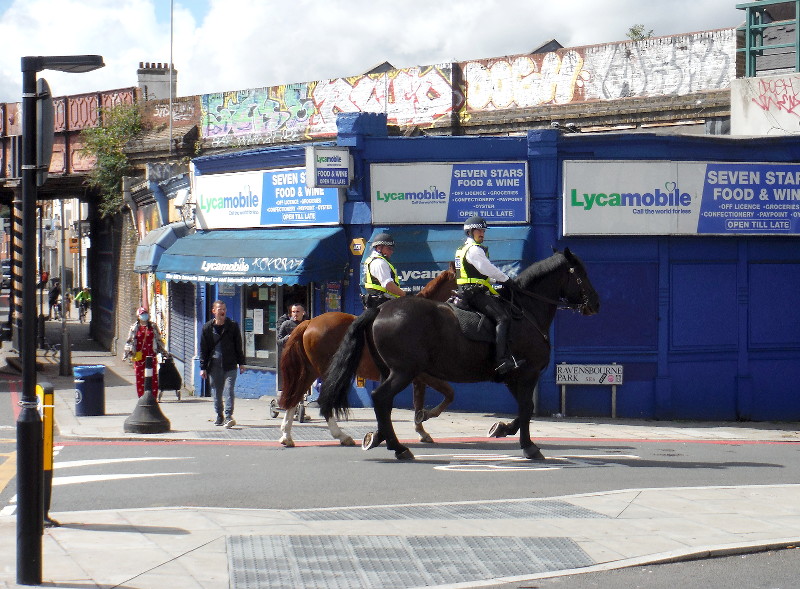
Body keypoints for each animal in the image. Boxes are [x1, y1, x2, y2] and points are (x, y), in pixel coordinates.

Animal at [278, 266, 456, 446]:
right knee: (322, 400)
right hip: (326, 371)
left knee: (296, 396)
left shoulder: (416, 377)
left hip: (311, 370)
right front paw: (425, 420)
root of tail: (309, 322)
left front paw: (419, 430)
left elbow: (418, 401)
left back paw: (286, 435)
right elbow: (446, 394)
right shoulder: (421, 375)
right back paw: (341, 436)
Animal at [318, 247, 600, 460]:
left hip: (389, 370)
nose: (595, 304)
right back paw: (398, 447)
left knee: (383, 404)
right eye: (581, 274)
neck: (526, 310)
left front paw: (502, 429)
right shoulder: (527, 372)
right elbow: (527, 408)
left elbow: (523, 408)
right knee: (380, 398)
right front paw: (528, 446)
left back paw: (382, 438)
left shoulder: (513, 377)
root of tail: (380, 310)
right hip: (403, 371)